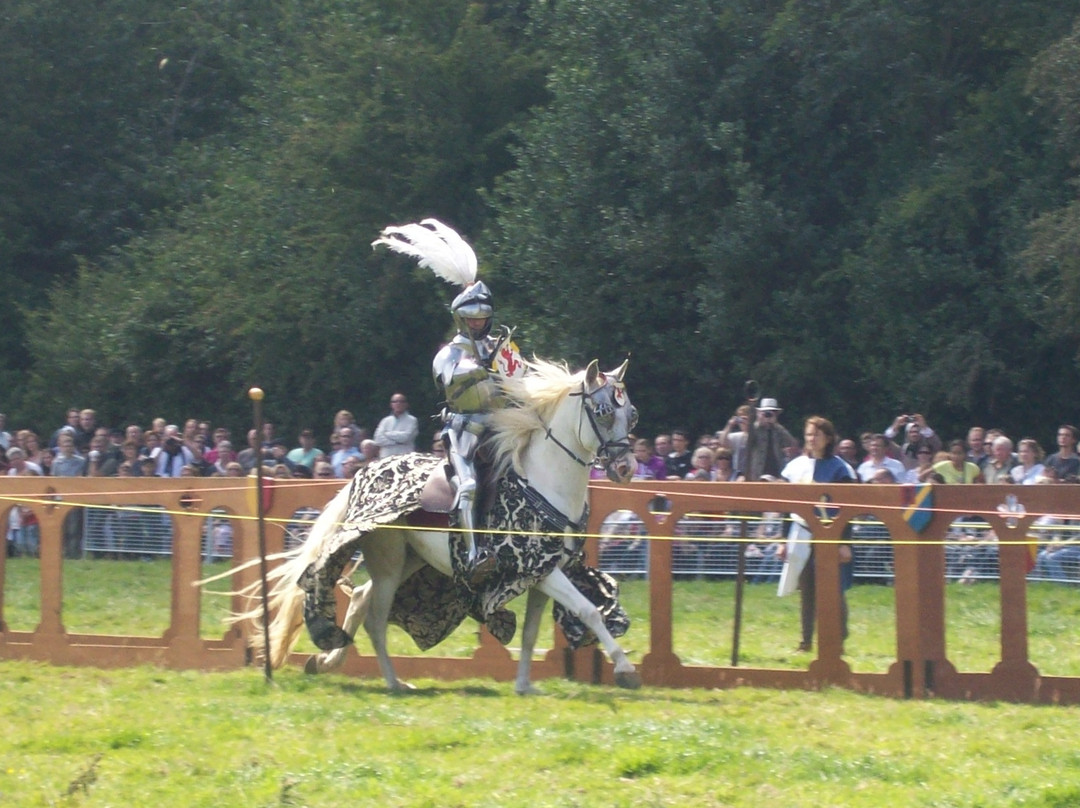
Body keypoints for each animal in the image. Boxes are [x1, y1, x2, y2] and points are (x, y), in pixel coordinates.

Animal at [222, 360, 635, 695]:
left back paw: (327, 661)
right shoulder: (541, 572)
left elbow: (534, 631)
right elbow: (590, 611)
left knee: (360, 599)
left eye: (630, 413)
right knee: (374, 618)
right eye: (602, 412)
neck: (543, 480)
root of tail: (359, 478)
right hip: (390, 562)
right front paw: (625, 669)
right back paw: (392, 682)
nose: (626, 467)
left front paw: (524, 686)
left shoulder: (543, 574)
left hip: (410, 560)